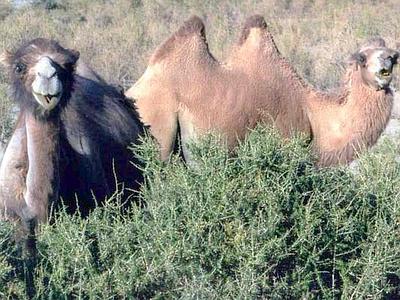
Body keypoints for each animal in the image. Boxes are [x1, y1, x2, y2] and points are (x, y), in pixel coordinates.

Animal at [127, 15, 396, 166]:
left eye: (395, 55)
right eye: (362, 58)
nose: (388, 61)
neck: (312, 111)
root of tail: (133, 93)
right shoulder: (287, 142)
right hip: (160, 128)